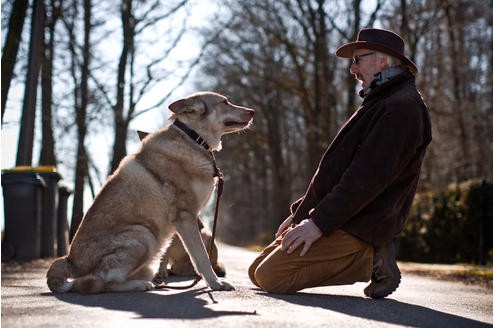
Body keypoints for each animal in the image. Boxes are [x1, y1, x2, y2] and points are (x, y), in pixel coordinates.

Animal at [46, 92, 254, 294]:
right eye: (225, 102)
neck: (193, 139)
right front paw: (216, 284)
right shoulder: (185, 217)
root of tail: (69, 262)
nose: (252, 111)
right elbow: (201, 256)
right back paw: (140, 285)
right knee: (100, 283)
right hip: (144, 235)